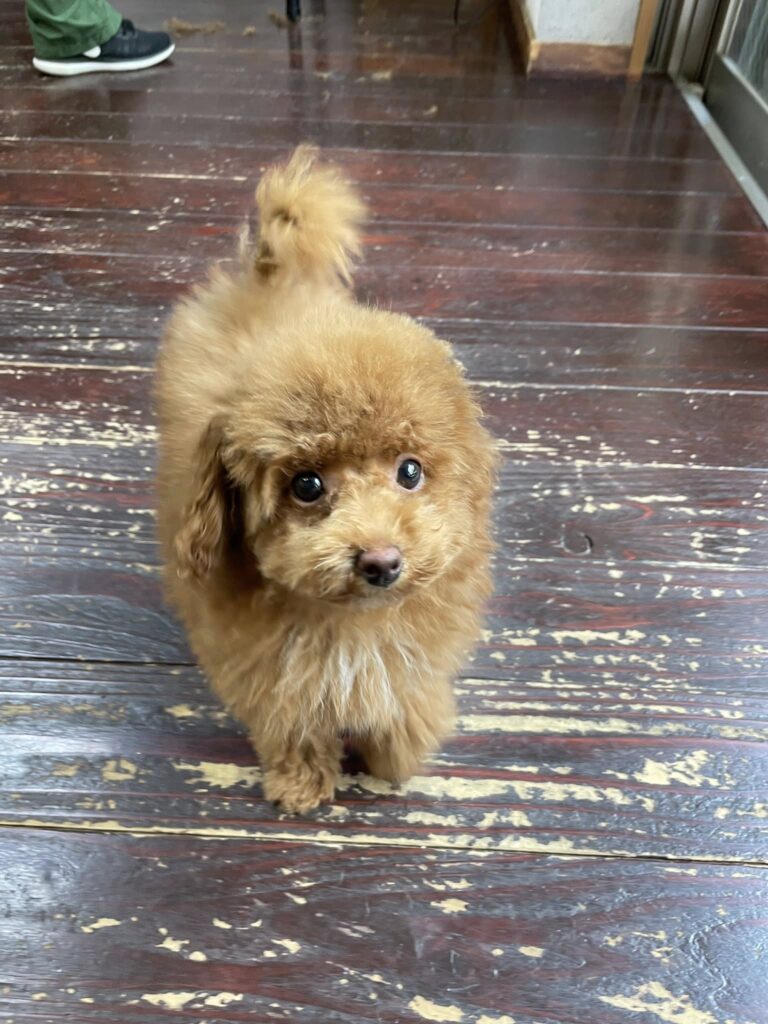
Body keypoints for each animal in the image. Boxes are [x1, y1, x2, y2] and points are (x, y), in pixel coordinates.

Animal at [156, 146, 496, 813]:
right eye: (307, 485)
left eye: (410, 471)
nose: (382, 561)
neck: (351, 622)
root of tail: (267, 273)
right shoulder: (274, 674)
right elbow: (293, 722)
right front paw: (301, 783)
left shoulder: (409, 655)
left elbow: (404, 703)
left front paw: (397, 757)